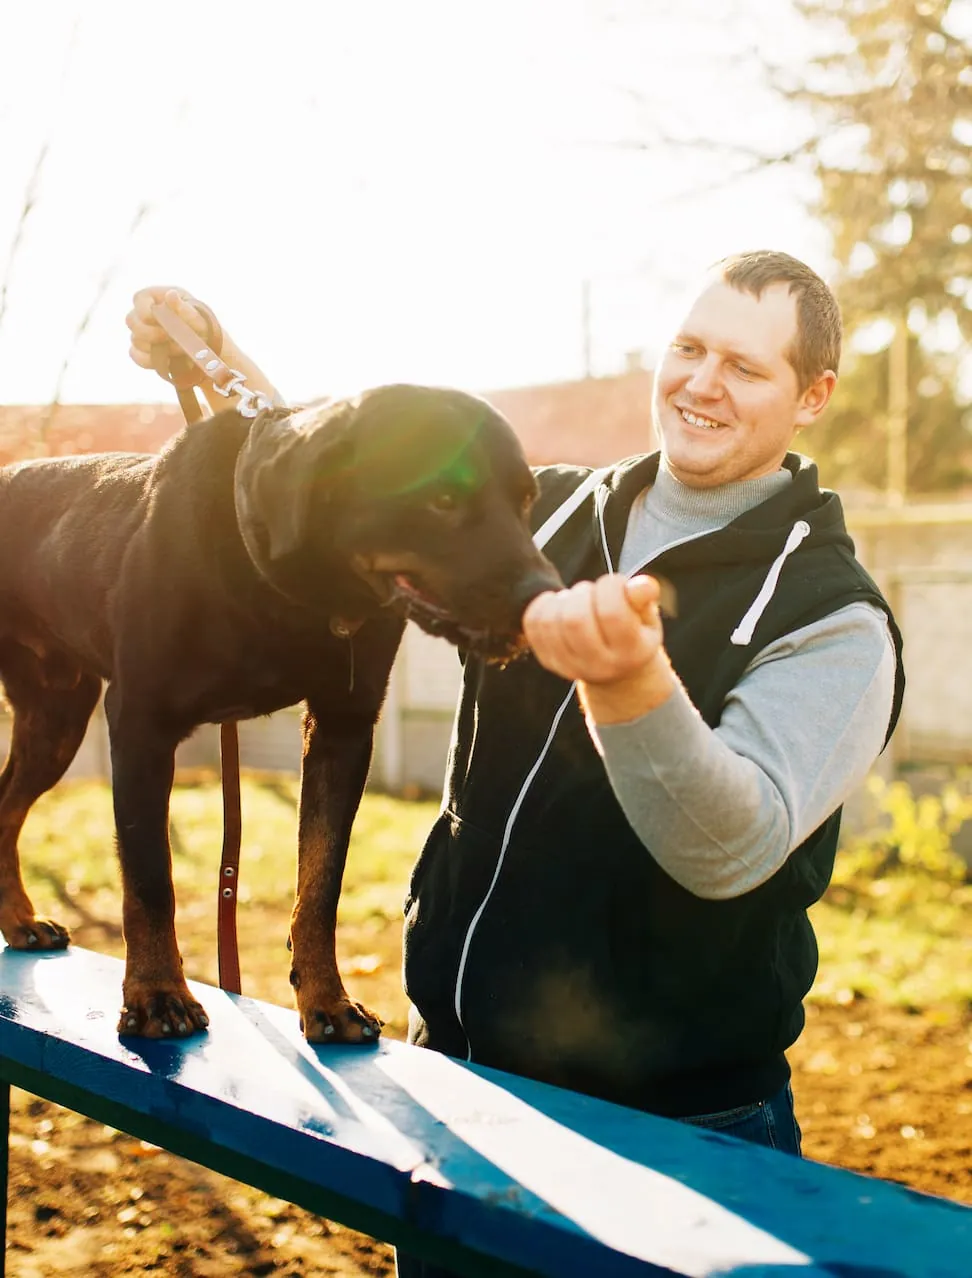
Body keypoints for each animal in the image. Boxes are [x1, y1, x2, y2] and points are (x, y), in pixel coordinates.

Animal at [0, 385, 561, 1037]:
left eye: (526, 502)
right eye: (442, 498)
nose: (547, 599)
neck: (285, 587)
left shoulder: (343, 729)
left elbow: (319, 885)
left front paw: (326, 999)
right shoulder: (141, 725)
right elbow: (149, 880)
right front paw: (156, 995)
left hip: (56, 719)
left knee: (5, 808)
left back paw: (18, 921)